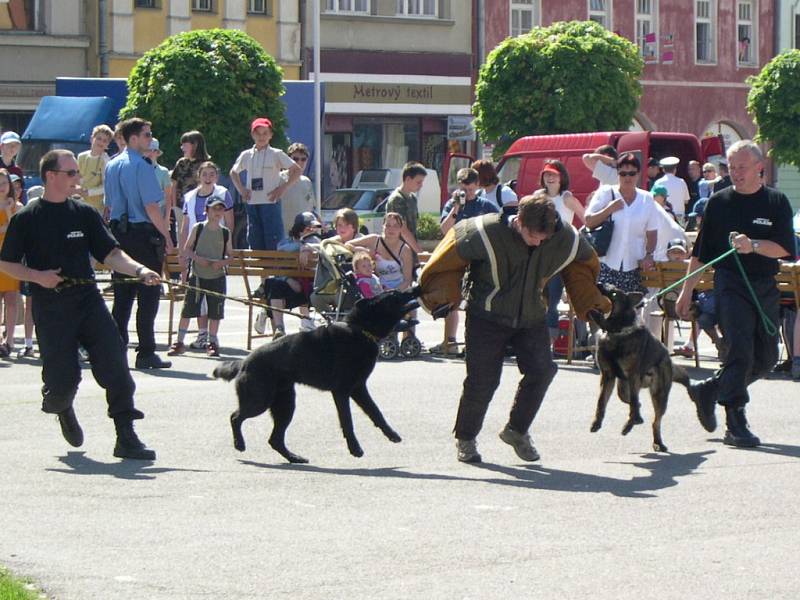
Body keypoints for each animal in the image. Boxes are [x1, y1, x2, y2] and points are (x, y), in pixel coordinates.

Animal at [212, 288, 418, 462]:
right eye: (394, 295)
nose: (414, 289)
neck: (361, 329)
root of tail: (244, 362)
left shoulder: (358, 389)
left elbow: (376, 412)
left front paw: (391, 434)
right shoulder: (342, 391)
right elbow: (347, 421)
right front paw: (355, 448)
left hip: (285, 405)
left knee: (274, 439)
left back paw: (294, 458)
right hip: (259, 401)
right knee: (235, 417)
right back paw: (240, 444)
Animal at [584, 284, 692, 450]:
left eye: (613, 292)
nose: (599, 283)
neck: (617, 331)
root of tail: (668, 357)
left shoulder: (632, 376)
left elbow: (634, 404)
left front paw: (630, 423)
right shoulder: (607, 376)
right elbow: (601, 402)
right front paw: (597, 422)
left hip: (658, 396)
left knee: (655, 421)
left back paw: (656, 441)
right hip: (623, 388)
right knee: (632, 401)